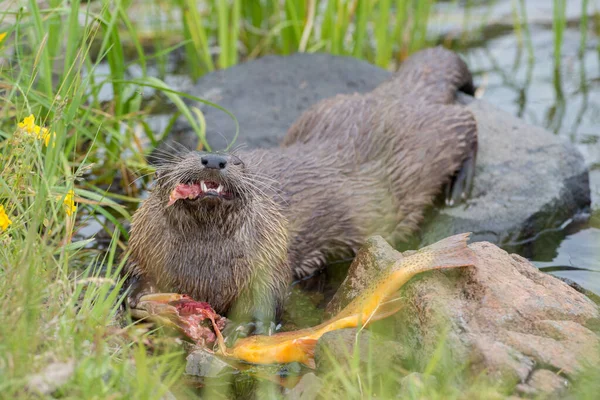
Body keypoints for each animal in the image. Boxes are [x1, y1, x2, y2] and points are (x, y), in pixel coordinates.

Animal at [125, 46, 478, 328]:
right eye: (185, 155)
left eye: (238, 162)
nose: (213, 159)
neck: (203, 272)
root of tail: (396, 94)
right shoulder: (144, 254)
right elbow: (134, 277)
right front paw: (133, 297)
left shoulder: (270, 262)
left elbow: (270, 299)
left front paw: (248, 326)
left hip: (430, 141)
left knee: (465, 121)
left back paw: (461, 186)